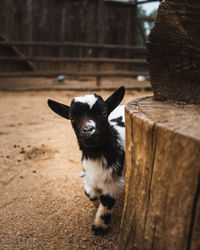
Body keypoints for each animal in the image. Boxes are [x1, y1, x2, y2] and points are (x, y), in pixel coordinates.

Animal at [47, 86, 125, 234]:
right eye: (72, 118)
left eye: (104, 113)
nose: (88, 130)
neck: (97, 155)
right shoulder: (87, 173)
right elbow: (90, 193)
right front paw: (96, 202)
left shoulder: (114, 180)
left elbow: (106, 202)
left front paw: (99, 227)